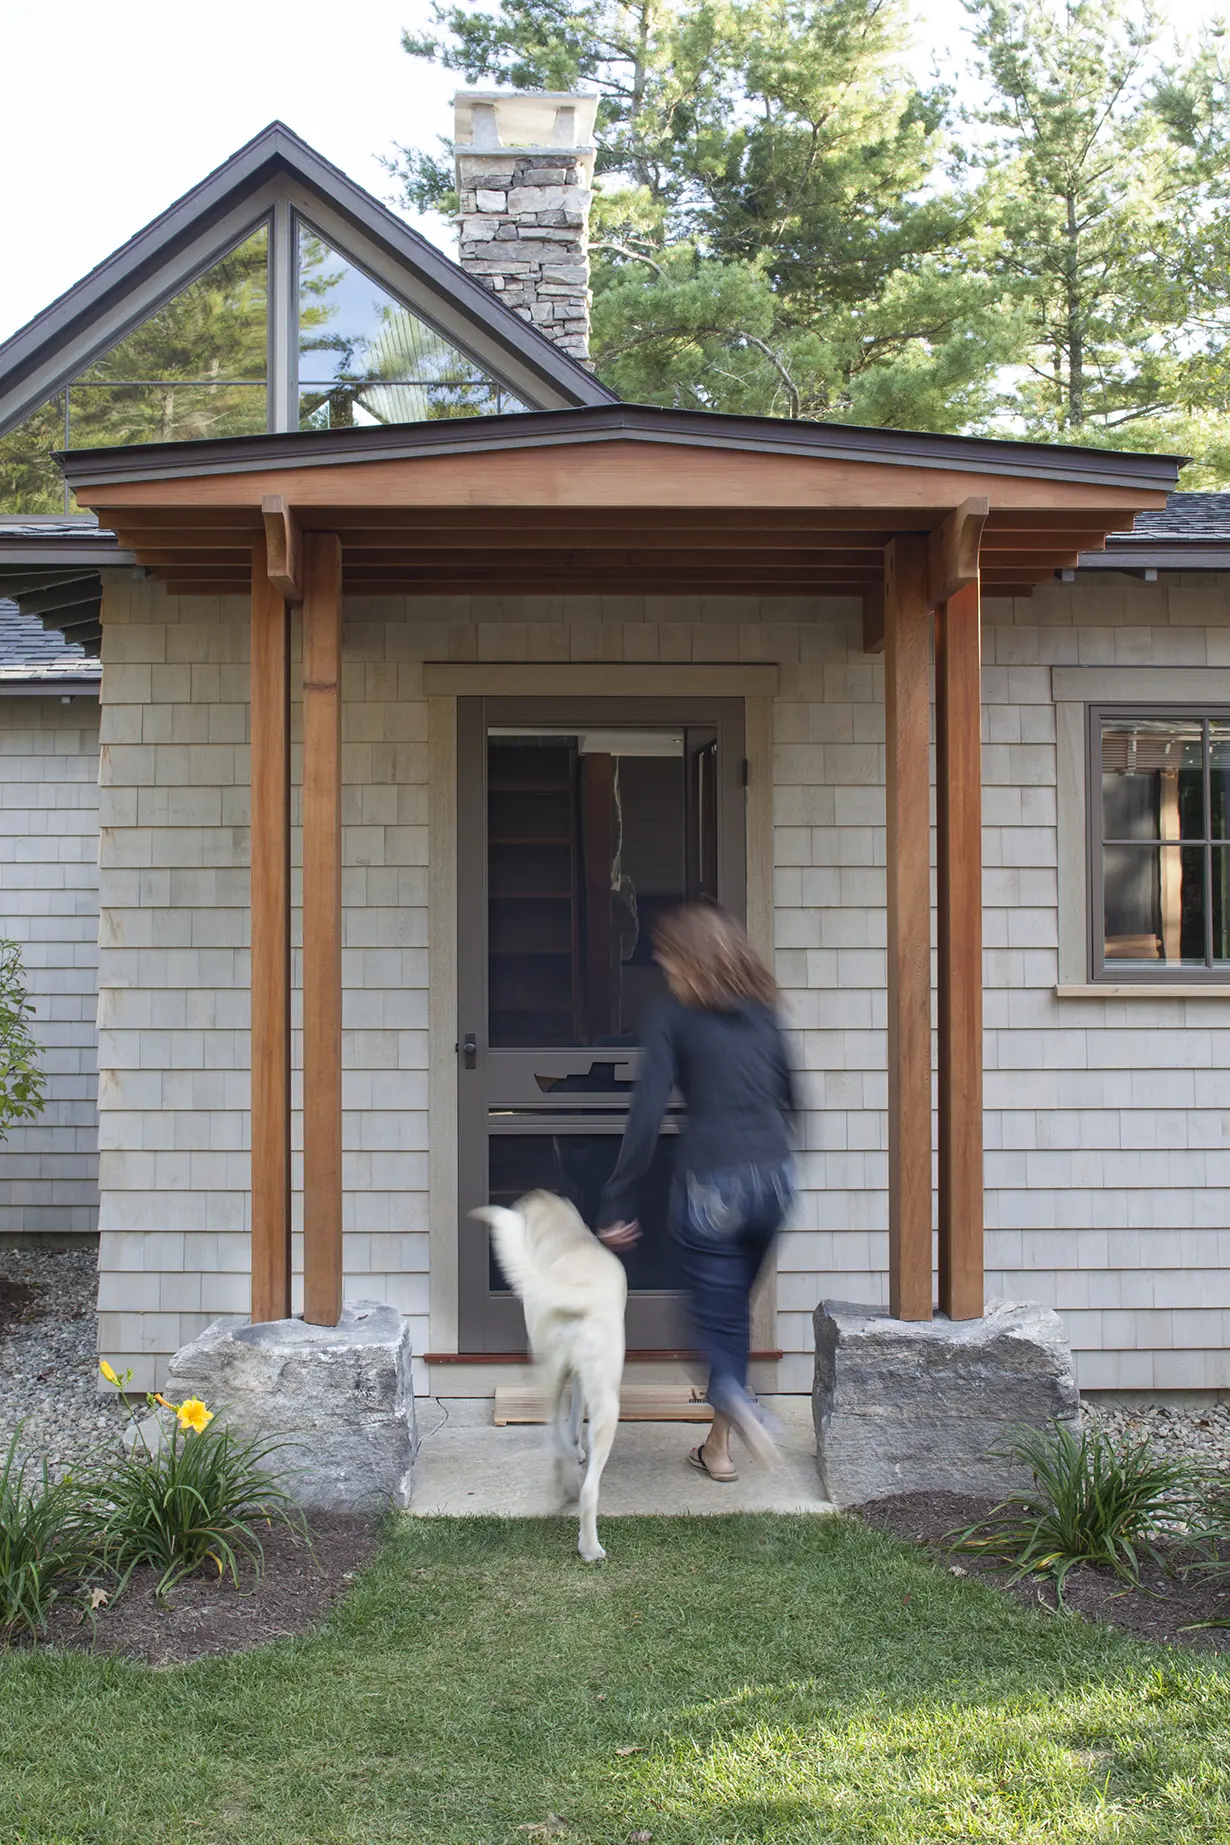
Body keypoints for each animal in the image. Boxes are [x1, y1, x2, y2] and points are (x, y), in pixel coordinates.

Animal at [472, 1195, 626, 1557]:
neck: (568, 1241)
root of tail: (578, 1294)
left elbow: (569, 1422)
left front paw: (575, 1451)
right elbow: (576, 1415)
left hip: (551, 1381)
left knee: (560, 1448)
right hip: (606, 1401)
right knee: (584, 1482)